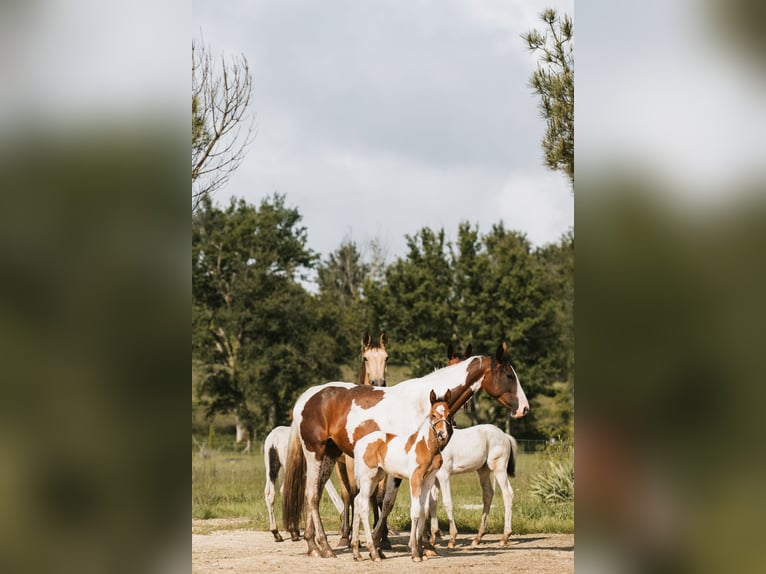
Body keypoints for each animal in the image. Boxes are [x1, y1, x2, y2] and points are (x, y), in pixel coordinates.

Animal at [354, 390, 456, 564]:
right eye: (433, 415)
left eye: (448, 415)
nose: (442, 435)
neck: (426, 446)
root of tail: (360, 443)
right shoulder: (415, 478)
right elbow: (415, 511)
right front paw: (414, 552)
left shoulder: (428, 480)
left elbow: (424, 511)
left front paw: (421, 550)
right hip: (368, 477)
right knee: (363, 507)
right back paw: (374, 552)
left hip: (376, 477)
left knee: (356, 502)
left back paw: (356, 553)